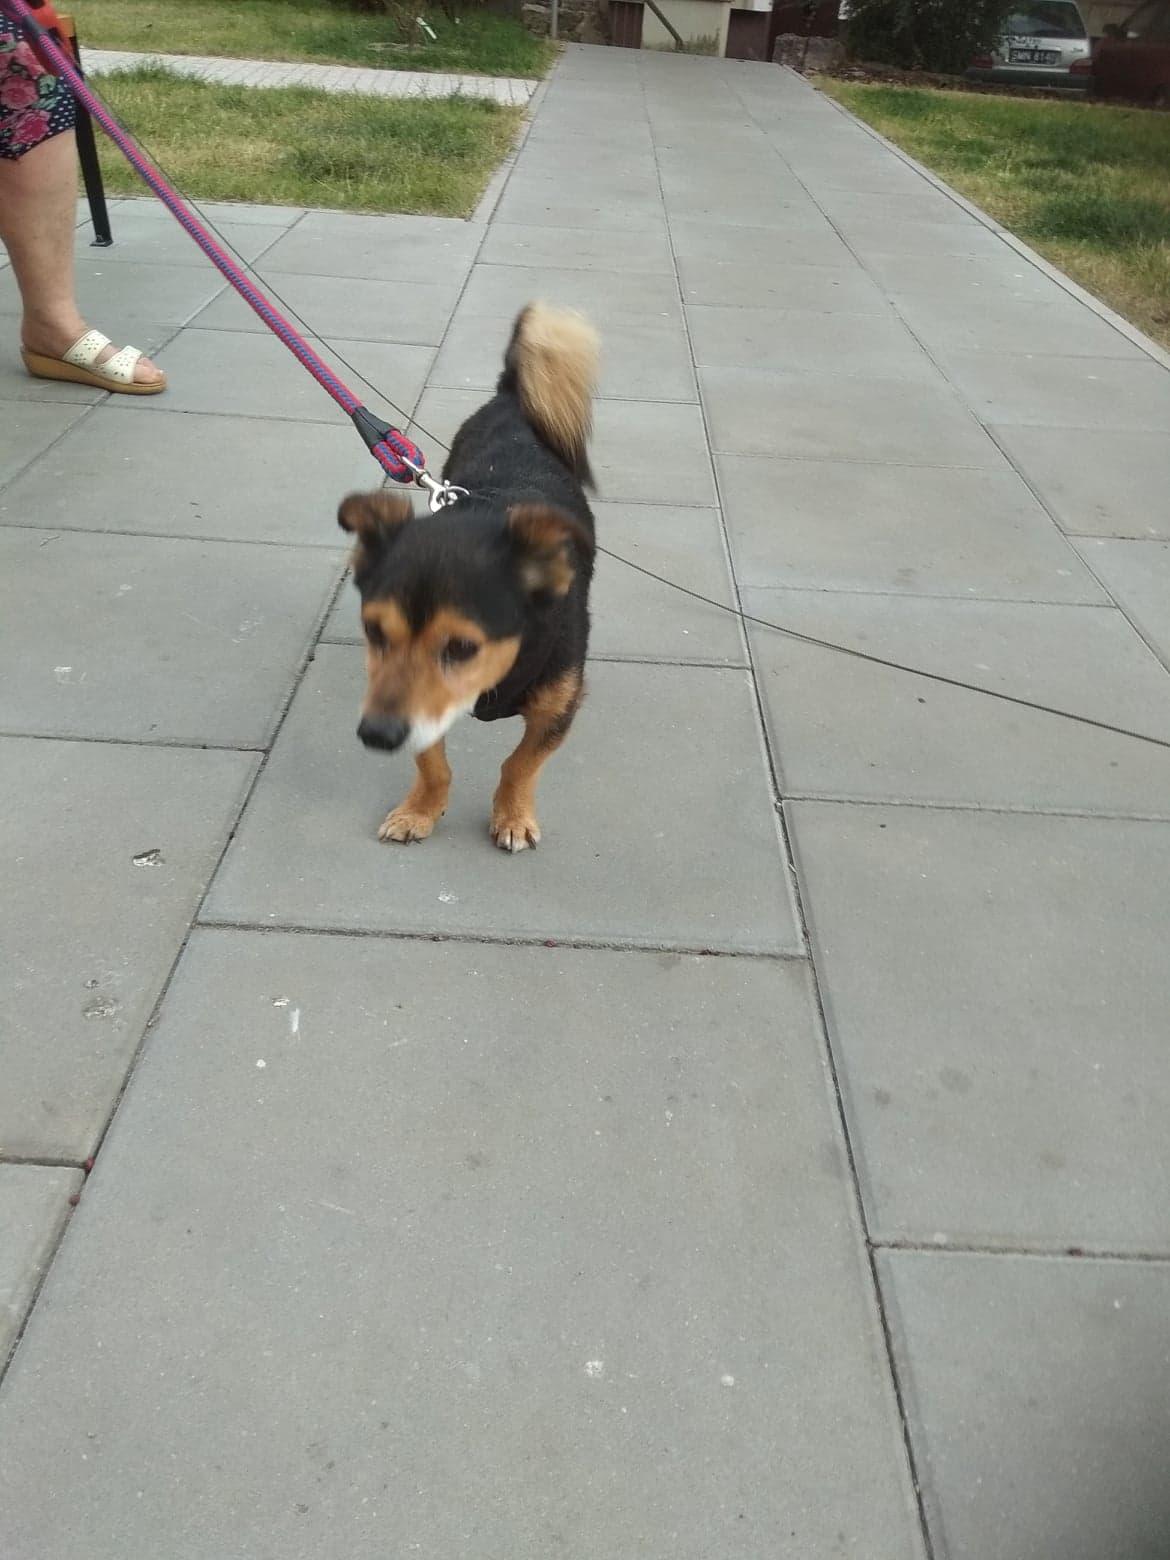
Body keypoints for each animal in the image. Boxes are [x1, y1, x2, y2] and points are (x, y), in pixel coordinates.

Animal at [338, 303, 599, 853]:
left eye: (462, 648)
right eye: (373, 631)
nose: (376, 736)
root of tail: (512, 397)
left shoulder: (558, 707)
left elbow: (520, 764)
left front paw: (513, 815)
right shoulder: (423, 713)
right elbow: (431, 761)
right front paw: (421, 809)